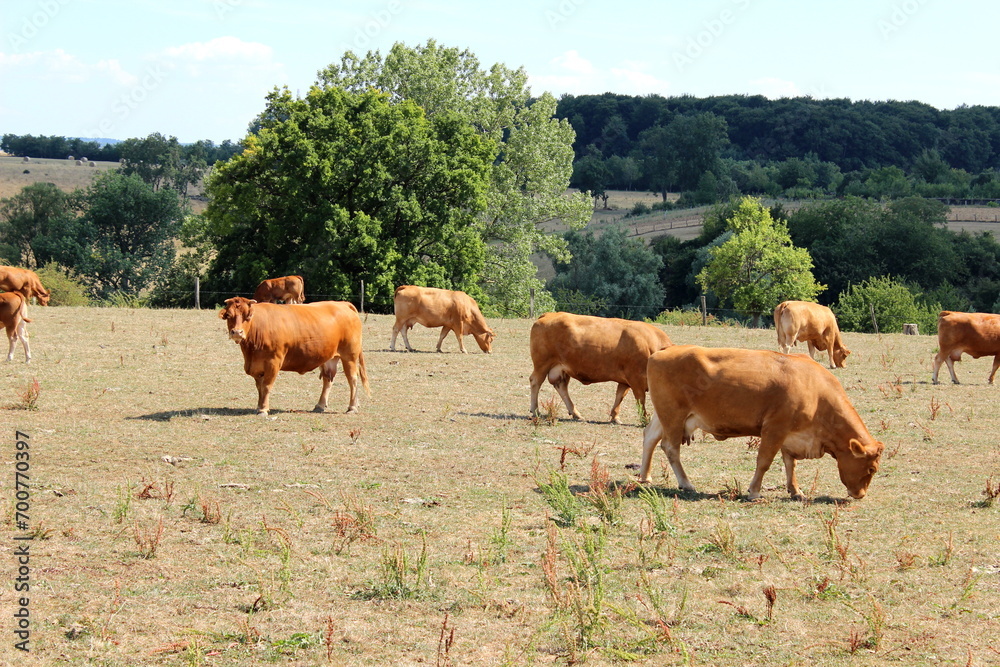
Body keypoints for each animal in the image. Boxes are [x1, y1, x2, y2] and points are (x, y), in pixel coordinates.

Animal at [219, 298, 372, 418]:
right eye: (229, 315)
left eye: (248, 315)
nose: (237, 332)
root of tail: (343, 304)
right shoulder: (256, 365)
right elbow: (259, 387)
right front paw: (259, 406)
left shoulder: (273, 362)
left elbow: (266, 386)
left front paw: (263, 409)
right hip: (329, 357)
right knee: (328, 379)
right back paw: (320, 405)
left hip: (349, 356)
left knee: (352, 379)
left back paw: (352, 407)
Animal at [528, 312, 676, 422]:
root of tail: (549, 314)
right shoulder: (636, 378)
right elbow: (640, 400)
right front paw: (645, 419)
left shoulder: (626, 380)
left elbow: (620, 396)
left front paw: (615, 416)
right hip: (542, 364)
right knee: (535, 381)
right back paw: (535, 410)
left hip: (561, 369)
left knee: (561, 387)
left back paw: (575, 413)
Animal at [640, 348, 884, 498]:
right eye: (871, 468)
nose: (860, 494)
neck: (817, 392)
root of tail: (662, 351)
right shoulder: (774, 429)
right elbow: (764, 461)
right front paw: (755, 491)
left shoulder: (790, 434)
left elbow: (790, 464)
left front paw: (796, 491)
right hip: (673, 416)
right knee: (670, 448)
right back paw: (686, 483)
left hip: (665, 416)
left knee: (649, 438)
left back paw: (645, 476)